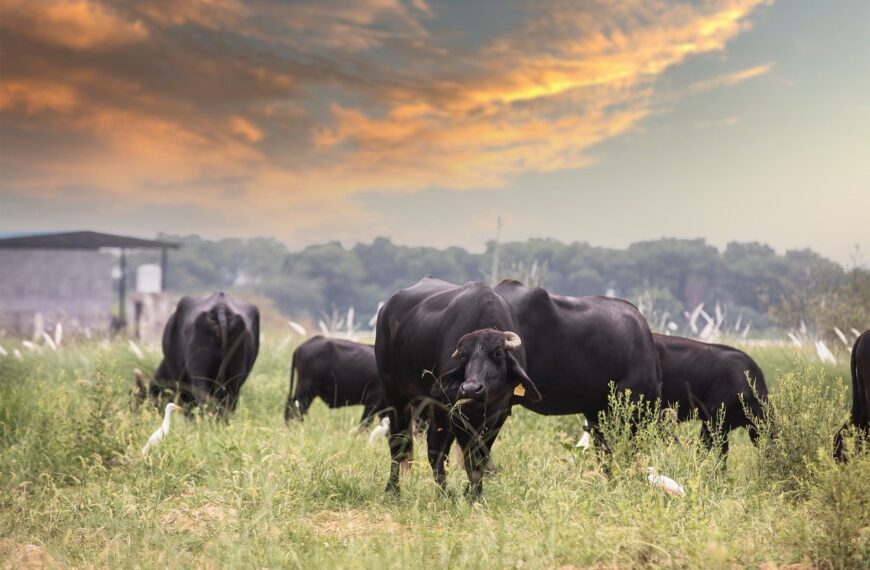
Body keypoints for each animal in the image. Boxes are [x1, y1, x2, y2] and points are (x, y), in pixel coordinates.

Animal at [378, 278, 540, 494]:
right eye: (463, 356)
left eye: (498, 353)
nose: (471, 389)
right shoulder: (457, 413)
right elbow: (469, 457)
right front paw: (473, 494)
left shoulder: (499, 414)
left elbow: (481, 456)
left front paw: (472, 492)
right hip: (395, 395)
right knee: (400, 443)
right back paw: (396, 490)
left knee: (434, 447)